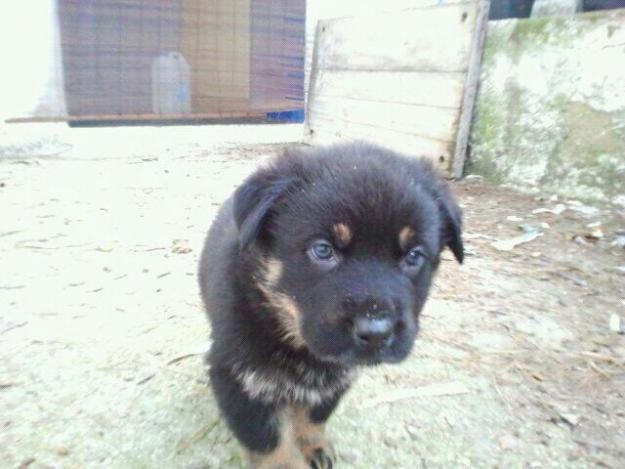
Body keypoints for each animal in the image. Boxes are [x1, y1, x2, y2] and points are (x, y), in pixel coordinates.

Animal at [197, 143, 460, 468]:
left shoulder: (337, 378)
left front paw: (316, 447)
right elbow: (271, 443)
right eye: (323, 250)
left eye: (414, 255)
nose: (376, 333)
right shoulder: (238, 379)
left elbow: (314, 416)